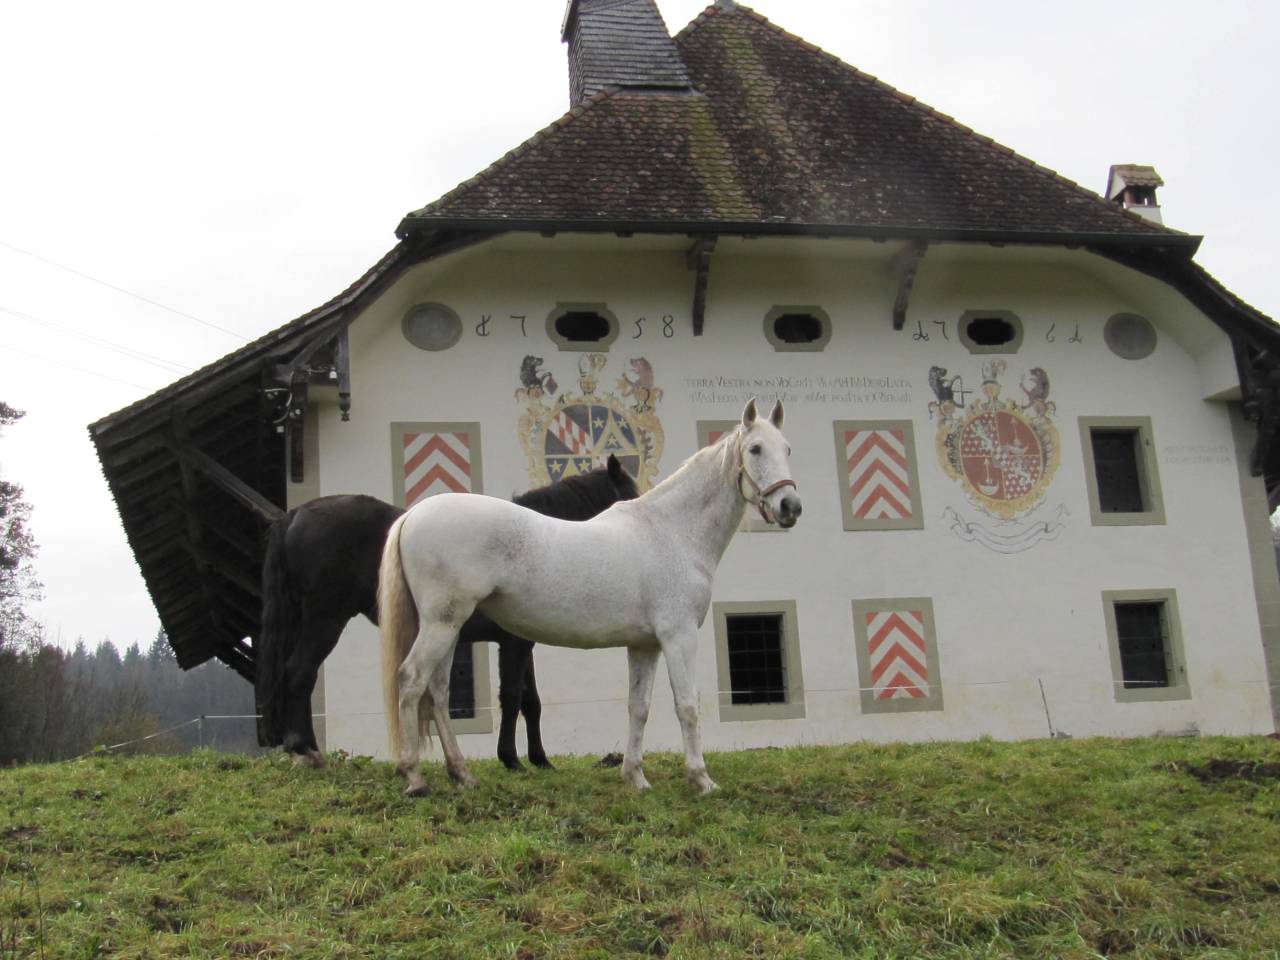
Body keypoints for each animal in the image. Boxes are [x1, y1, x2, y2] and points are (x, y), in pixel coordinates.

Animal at [256, 455, 640, 769]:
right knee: (299, 672)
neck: (532, 543)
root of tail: (295, 515)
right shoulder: (513, 644)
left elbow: (532, 700)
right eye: (629, 496)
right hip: (326, 618)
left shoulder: (521, 642)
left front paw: (540, 760)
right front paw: (511, 759)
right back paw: (303, 749)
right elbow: (512, 696)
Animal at [379, 398, 801, 797]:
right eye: (755, 449)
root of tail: (413, 515)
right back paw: (415, 777)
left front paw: (635, 777)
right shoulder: (678, 637)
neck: (672, 533)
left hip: (449, 628)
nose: (790, 507)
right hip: (441, 625)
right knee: (412, 680)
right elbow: (688, 706)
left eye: (788, 448)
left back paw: (462, 775)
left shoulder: (645, 645)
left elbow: (638, 707)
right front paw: (701, 780)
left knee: (437, 691)